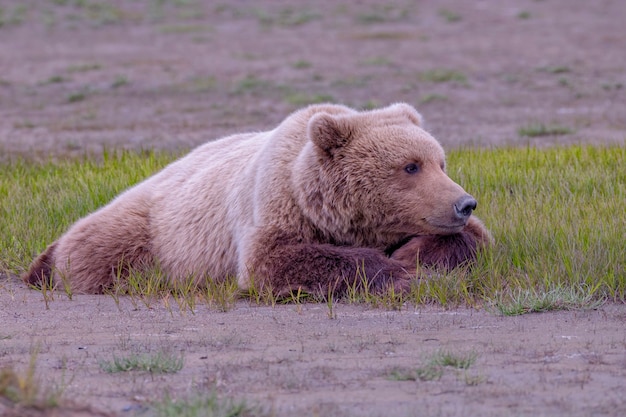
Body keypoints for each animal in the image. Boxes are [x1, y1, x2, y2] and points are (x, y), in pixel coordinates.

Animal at [24, 102, 490, 294]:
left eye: (441, 162)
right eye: (410, 166)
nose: (463, 203)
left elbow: (475, 240)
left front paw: (414, 255)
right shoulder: (273, 203)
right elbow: (276, 259)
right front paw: (399, 272)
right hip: (150, 226)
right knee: (93, 249)